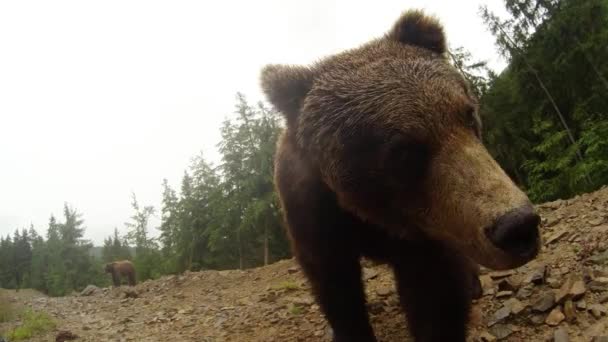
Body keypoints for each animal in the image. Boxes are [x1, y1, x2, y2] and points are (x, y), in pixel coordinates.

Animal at [262, 9, 540, 340]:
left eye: (468, 114)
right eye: (403, 150)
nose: (518, 226)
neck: (371, 211)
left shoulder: (431, 226)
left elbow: (435, 294)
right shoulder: (312, 212)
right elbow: (336, 285)